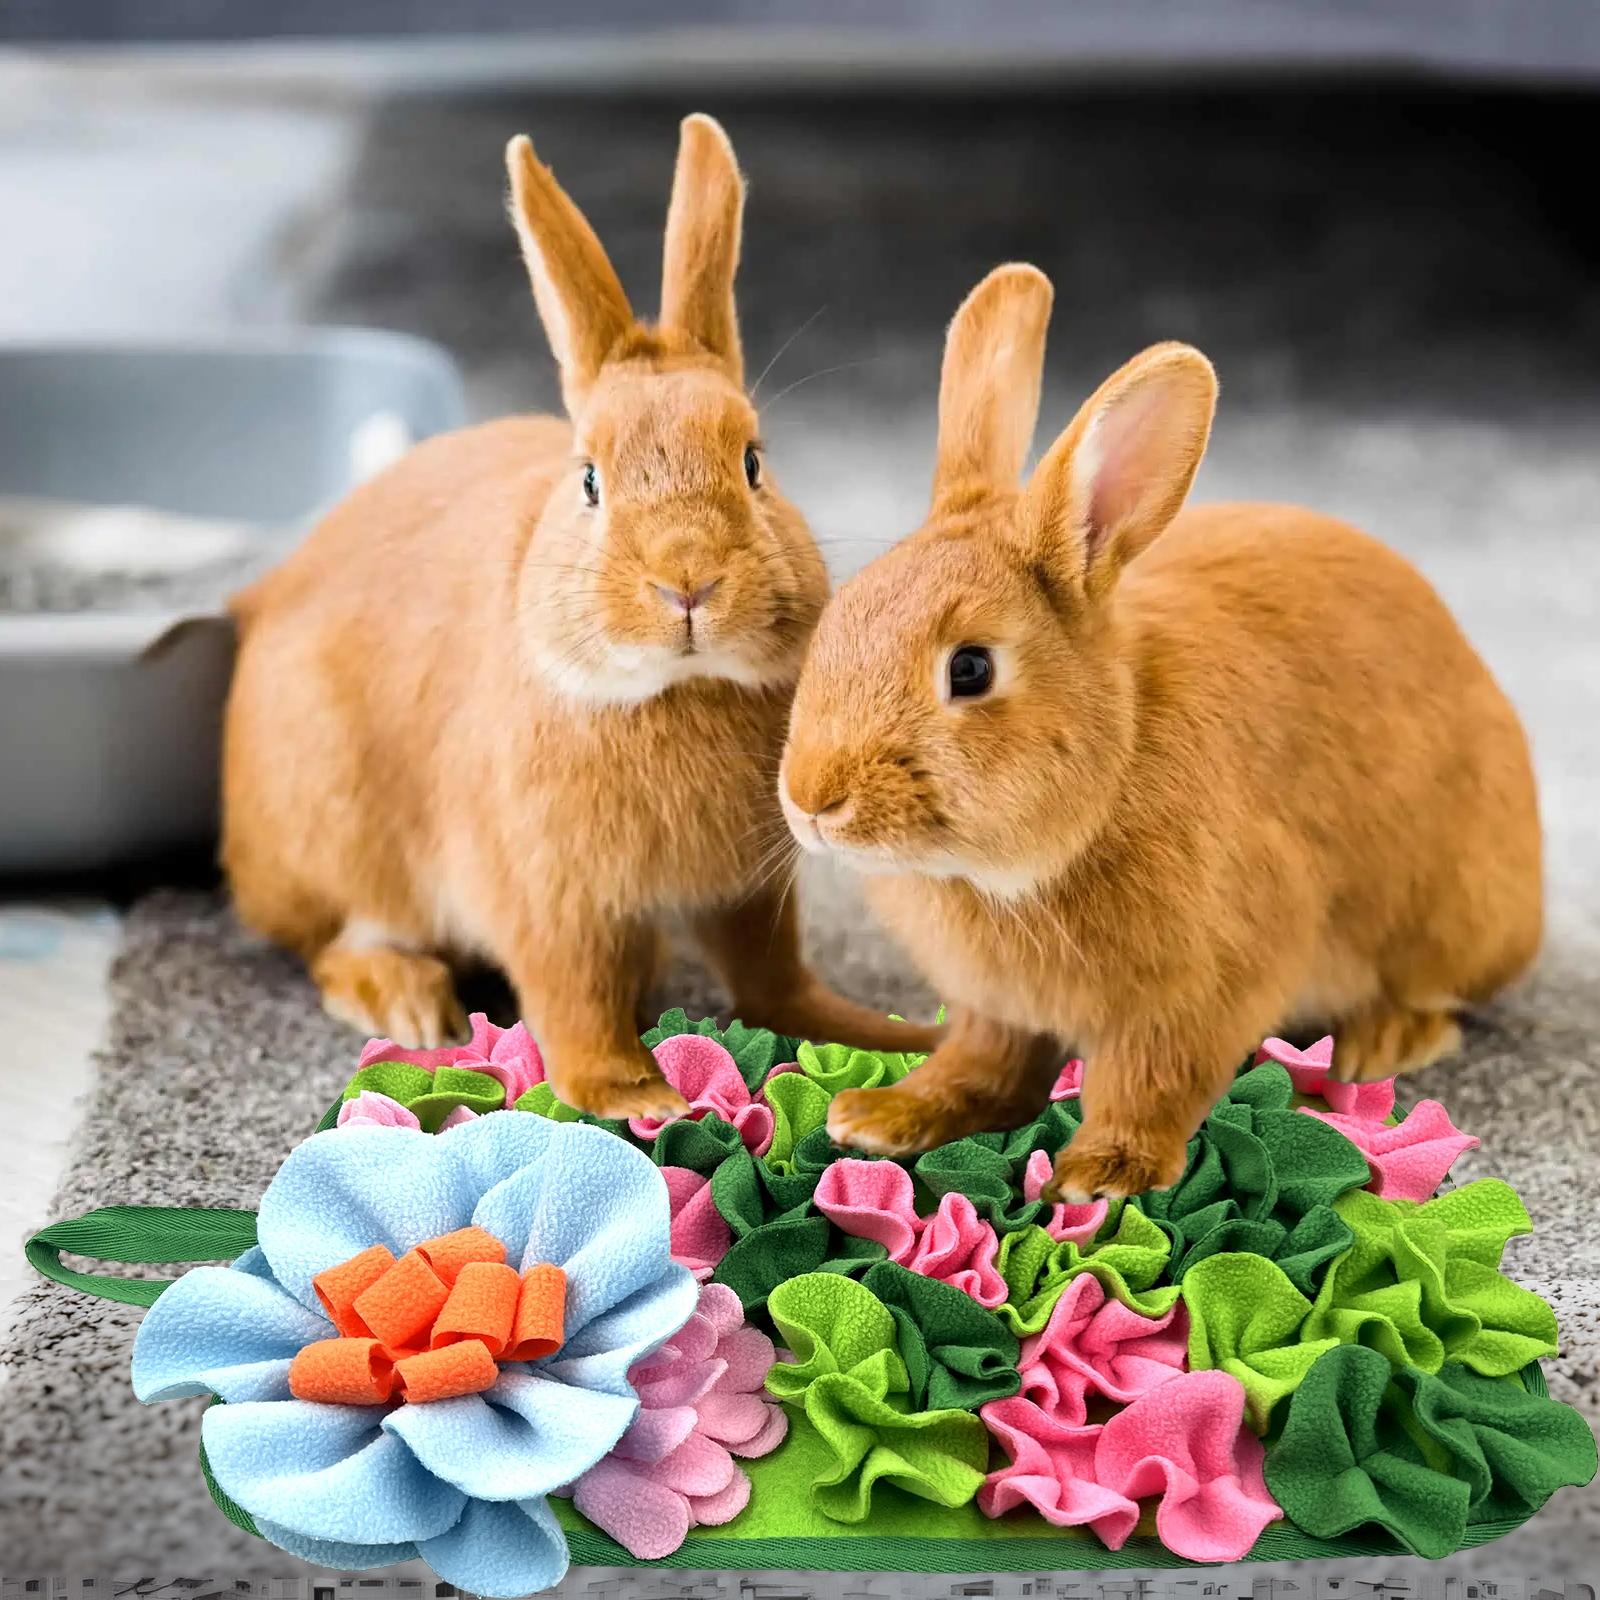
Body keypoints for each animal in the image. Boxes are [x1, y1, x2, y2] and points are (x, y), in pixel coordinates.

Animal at [222, 114, 941, 1120]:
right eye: (591, 479)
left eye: (754, 462)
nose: (689, 581)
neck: (676, 689)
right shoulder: (548, 897)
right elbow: (572, 1003)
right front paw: (637, 1096)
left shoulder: (749, 889)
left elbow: (773, 981)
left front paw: (885, 1036)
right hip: (339, 834)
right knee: (335, 943)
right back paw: (408, 1003)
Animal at [778, 262, 1541, 1200]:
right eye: (836, 617)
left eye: (971, 669)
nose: (812, 799)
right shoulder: (997, 1007)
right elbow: (980, 1064)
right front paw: (885, 1118)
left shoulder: (1201, 987)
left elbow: (1150, 1080)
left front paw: (1100, 1174)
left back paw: (1383, 1042)